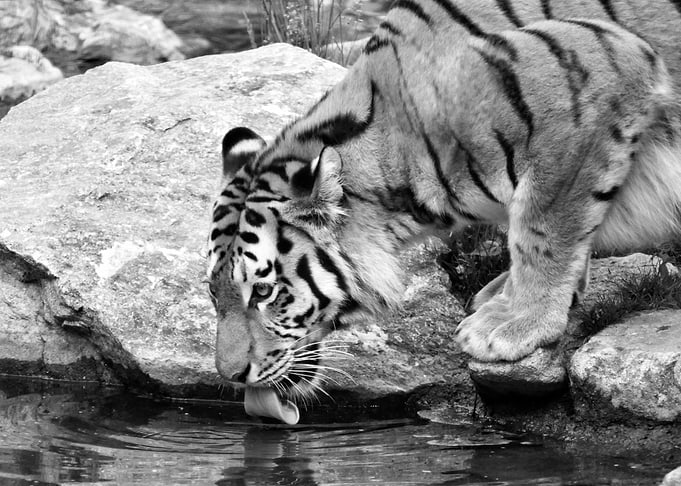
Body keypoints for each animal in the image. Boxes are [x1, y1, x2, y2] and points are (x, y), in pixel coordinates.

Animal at [206, 0, 681, 402]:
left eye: (264, 291)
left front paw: (513, 322)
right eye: (214, 292)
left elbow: (543, 231)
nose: (230, 376)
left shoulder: (592, 83)